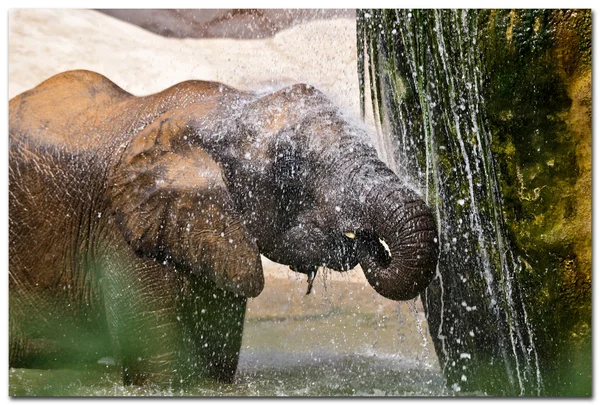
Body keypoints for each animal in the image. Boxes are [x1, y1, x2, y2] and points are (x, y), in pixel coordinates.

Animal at [9, 69, 438, 386]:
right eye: (289, 166)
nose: (368, 242)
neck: (222, 110)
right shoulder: (122, 233)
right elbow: (159, 371)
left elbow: (217, 365)